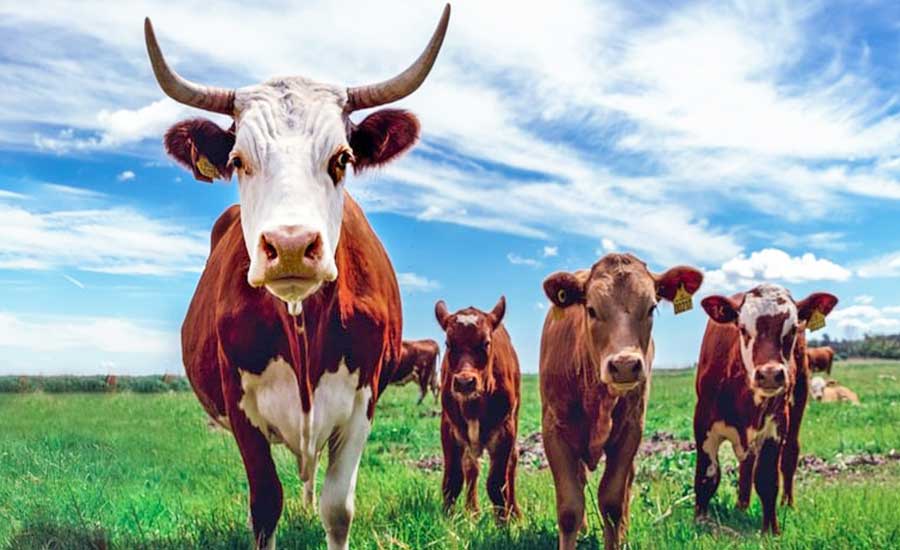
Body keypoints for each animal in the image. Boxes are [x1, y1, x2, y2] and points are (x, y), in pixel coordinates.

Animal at [143, 6, 450, 549]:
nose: (289, 245)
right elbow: (266, 503)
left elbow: (337, 508)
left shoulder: (363, 399)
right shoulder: (239, 403)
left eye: (342, 158)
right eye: (237, 160)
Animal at [434, 296, 521, 522]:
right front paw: (448, 520)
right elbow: (452, 480)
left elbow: (497, 484)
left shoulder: (505, 430)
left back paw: (514, 512)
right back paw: (472, 510)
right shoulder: (449, 427)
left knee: (512, 463)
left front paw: (503, 523)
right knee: (471, 467)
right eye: (449, 343)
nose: (465, 382)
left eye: (486, 343)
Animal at [540, 253, 704, 550]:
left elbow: (612, 503)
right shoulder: (554, 432)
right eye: (591, 309)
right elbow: (569, 508)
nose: (625, 365)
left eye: (651, 307)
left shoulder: (630, 430)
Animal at [695, 284, 838, 534]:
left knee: (789, 454)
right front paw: (700, 522)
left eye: (792, 329)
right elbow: (707, 477)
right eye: (743, 328)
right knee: (746, 463)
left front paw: (771, 529)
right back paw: (741, 506)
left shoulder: (775, 425)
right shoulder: (703, 423)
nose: (770, 374)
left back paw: (787, 504)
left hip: (799, 397)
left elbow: (766, 479)